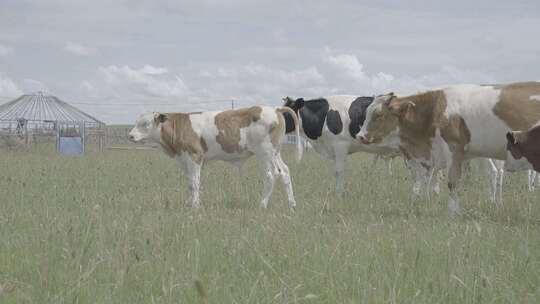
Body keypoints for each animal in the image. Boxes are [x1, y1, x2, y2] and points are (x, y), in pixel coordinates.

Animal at [128, 106, 302, 209]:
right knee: (285, 172)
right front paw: (189, 203)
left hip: (265, 153)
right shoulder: (187, 160)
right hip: (275, 153)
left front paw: (195, 206)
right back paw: (292, 204)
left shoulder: (195, 157)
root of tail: (274, 109)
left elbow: (194, 183)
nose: (130, 135)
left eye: (145, 124)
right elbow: (190, 183)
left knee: (271, 175)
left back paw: (262, 205)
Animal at [354, 81, 540, 214]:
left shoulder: (454, 149)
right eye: (367, 113)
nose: (360, 136)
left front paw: (452, 213)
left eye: (378, 115)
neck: (437, 109)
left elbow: (452, 182)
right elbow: (428, 181)